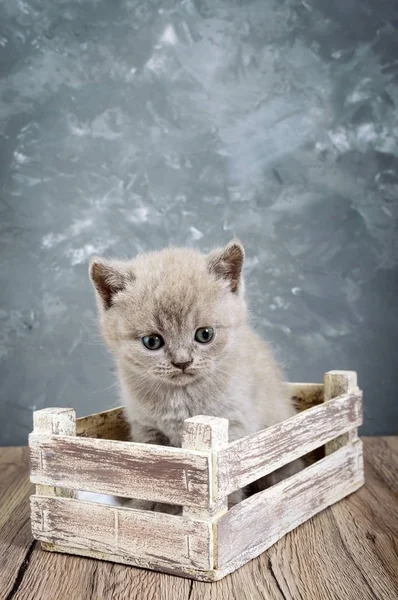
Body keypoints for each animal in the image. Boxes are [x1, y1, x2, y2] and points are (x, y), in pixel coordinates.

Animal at [89, 240, 302, 510]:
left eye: (205, 334)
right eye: (152, 341)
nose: (182, 362)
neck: (180, 398)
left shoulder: (234, 427)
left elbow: (229, 483)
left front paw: (229, 511)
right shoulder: (147, 430)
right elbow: (152, 477)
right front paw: (150, 508)